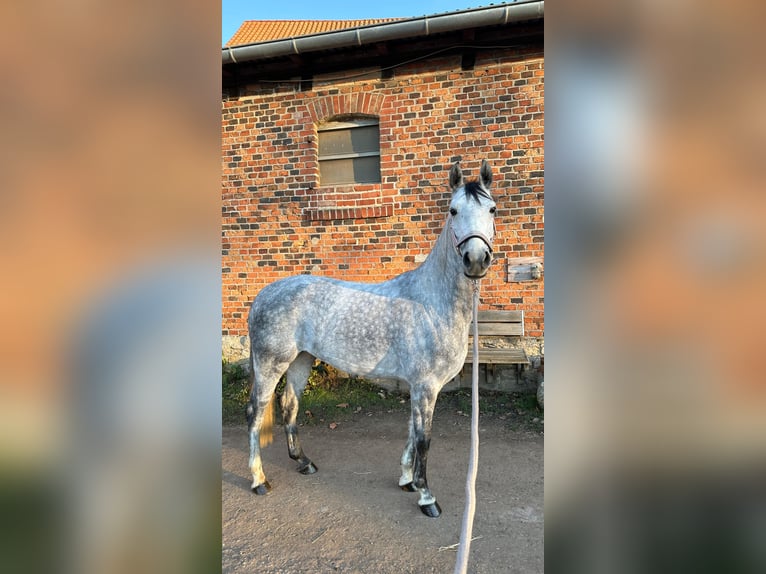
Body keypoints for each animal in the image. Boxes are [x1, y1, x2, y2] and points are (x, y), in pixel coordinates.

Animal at [246, 160, 497, 517]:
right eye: (453, 210)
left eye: (492, 209)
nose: (475, 260)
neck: (431, 301)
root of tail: (263, 295)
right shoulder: (426, 386)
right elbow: (424, 439)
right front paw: (427, 497)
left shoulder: (418, 386)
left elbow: (412, 432)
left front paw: (407, 480)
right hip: (271, 363)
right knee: (256, 412)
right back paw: (259, 480)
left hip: (301, 360)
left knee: (289, 404)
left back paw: (304, 462)